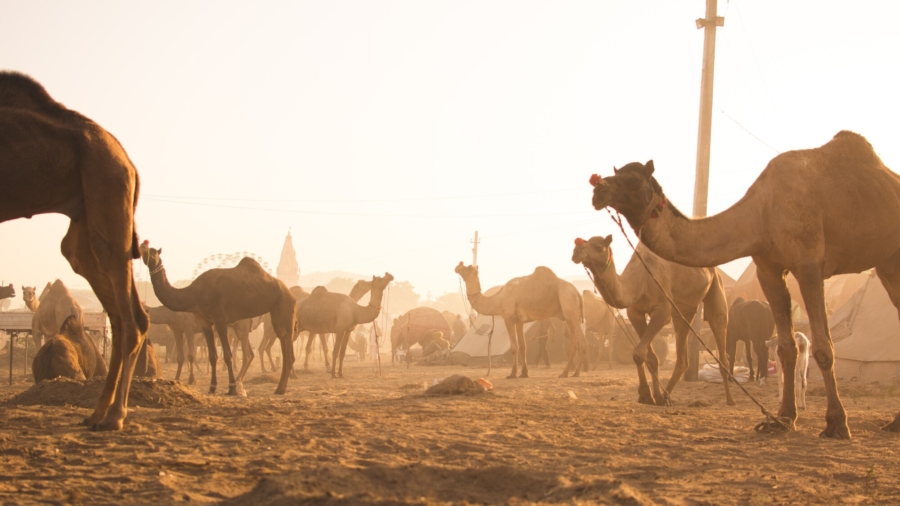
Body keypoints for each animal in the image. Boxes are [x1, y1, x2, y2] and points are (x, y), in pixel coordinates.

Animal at [0, 72, 149, 431]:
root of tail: (128, 160)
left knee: (132, 317)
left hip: (107, 190)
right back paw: (98, 412)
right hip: (84, 223)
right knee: (116, 314)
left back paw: (115, 415)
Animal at [140, 242, 296, 396]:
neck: (193, 294)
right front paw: (212, 387)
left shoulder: (218, 319)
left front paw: (231, 388)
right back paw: (278, 388)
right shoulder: (204, 322)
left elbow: (227, 355)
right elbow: (212, 355)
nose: (142, 248)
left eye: (152, 252)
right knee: (281, 346)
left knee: (281, 343)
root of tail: (290, 293)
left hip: (283, 306)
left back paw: (278, 388)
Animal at [455, 262, 585, 379]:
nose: (457, 267)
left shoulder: (508, 318)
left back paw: (577, 372)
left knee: (581, 341)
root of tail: (577, 292)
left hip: (569, 303)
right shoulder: (519, 321)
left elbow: (514, 346)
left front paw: (512, 374)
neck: (498, 299)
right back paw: (565, 373)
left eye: (467, 267)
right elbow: (523, 346)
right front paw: (524, 373)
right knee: (574, 343)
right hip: (568, 316)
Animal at [572, 236, 735, 406]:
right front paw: (650, 395)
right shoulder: (635, 312)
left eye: (598, 247)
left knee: (719, 322)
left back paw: (730, 399)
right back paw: (665, 396)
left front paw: (647, 394)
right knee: (683, 356)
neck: (640, 280)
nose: (576, 251)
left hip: (716, 286)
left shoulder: (662, 311)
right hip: (684, 311)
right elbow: (648, 357)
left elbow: (639, 352)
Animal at [589, 131, 900, 438]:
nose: (597, 190)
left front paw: (836, 423)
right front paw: (784, 418)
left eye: (631, 180)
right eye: (615, 173)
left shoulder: (809, 265)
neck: (762, 214)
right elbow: (785, 347)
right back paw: (893, 422)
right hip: (887, 261)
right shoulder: (767, 268)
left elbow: (824, 347)